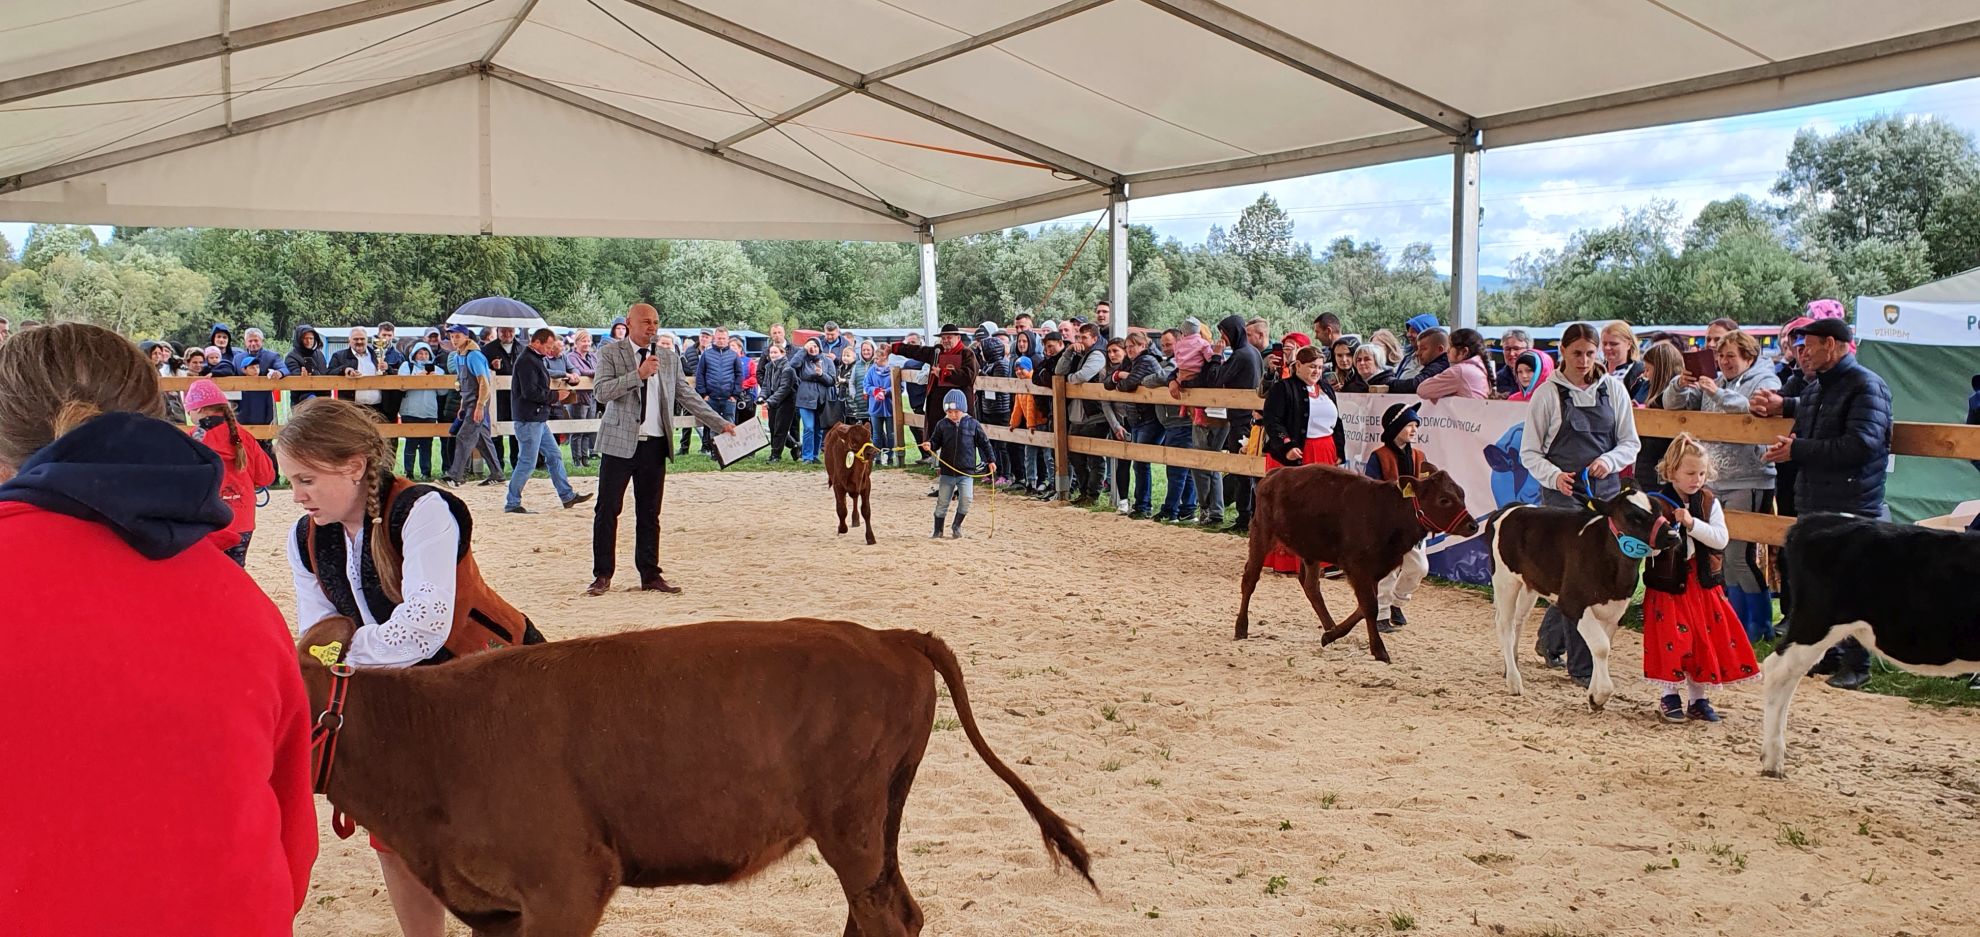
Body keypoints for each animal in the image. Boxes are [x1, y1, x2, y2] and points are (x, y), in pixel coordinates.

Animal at [300, 614, 1092, 935]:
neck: (431, 738)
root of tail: (889, 636)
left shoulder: (569, 882)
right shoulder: (494, 909)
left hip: (853, 824)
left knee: (886, 916)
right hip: (879, 821)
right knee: (889, 911)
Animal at [1227, 459, 1481, 657]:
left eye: (1462, 494)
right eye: (1444, 499)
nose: (1473, 525)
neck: (1389, 512)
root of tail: (1275, 474)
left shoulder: (1376, 569)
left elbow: (1366, 606)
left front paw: (1331, 635)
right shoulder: (1357, 567)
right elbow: (1369, 606)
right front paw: (1379, 651)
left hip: (1311, 550)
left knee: (1311, 586)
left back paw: (1329, 626)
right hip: (1262, 533)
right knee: (1250, 579)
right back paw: (1241, 627)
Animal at [1488, 489, 1679, 709]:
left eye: (1658, 509)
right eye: (1634, 516)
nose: (1673, 535)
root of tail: (1511, 508)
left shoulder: (1615, 610)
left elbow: (1601, 648)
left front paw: (1593, 694)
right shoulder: (1573, 603)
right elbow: (1601, 647)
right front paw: (1600, 695)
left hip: (1529, 585)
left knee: (1518, 621)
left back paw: (1512, 666)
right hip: (1505, 580)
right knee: (1505, 625)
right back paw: (1514, 682)